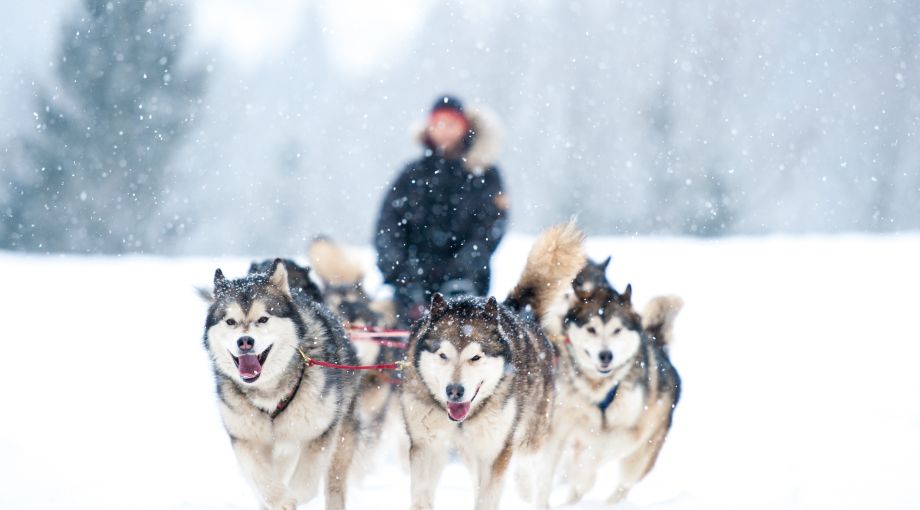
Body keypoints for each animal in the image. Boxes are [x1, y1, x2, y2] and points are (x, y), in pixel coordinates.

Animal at [204, 260, 360, 508]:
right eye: (230, 321)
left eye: (263, 319)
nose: (245, 341)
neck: (269, 392)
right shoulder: (245, 438)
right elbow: (262, 480)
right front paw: (281, 500)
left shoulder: (321, 432)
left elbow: (305, 484)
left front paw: (294, 495)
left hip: (340, 436)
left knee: (334, 482)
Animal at [400, 223, 584, 510]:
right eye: (443, 355)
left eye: (476, 357)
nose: (454, 391)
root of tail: (515, 310)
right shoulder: (426, 447)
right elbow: (422, 497)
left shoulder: (495, 452)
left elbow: (488, 497)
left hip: (530, 441)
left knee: (538, 477)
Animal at [536, 262, 680, 506]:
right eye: (591, 329)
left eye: (617, 330)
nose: (606, 355)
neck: (597, 387)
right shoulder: (559, 425)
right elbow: (545, 475)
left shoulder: (628, 432)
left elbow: (594, 455)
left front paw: (582, 476)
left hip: (640, 456)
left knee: (622, 485)